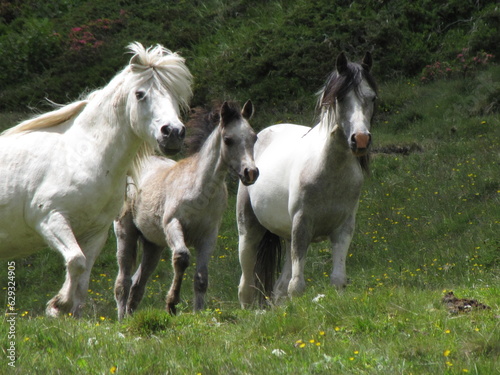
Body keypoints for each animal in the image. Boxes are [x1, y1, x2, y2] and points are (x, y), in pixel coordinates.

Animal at [0, 41, 191, 318]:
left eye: (175, 95)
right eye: (140, 94)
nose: (173, 133)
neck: (82, 155)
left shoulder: (95, 232)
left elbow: (82, 278)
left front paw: (66, 311)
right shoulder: (50, 219)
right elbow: (75, 261)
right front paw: (58, 305)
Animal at [113, 100, 258, 320]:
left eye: (254, 137)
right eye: (228, 140)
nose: (251, 172)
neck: (200, 191)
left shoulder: (209, 236)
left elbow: (201, 278)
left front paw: (198, 312)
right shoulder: (173, 224)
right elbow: (181, 257)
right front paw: (172, 304)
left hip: (153, 244)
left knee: (139, 281)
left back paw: (130, 315)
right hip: (125, 233)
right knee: (123, 281)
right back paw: (122, 319)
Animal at [236, 51, 376, 306]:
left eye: (372, 98)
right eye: (341, 98)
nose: (360, 140)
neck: (328, 171)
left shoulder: (343, 229)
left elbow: (337, 280)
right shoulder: (302, 224)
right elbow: (297, 287)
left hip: (286, 234)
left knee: (279, 288)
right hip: (248, 231)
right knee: (246, 286)